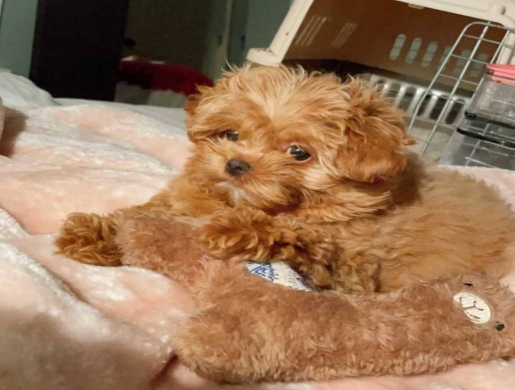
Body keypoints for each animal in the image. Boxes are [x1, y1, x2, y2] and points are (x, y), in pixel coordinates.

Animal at [55, 65, 515, 294]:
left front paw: (234, 230)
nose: (236, 165)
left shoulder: (355, 266)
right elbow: (144, 214)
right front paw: (97, 232)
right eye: (231, 134)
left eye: (298, 152)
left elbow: (297, 236)